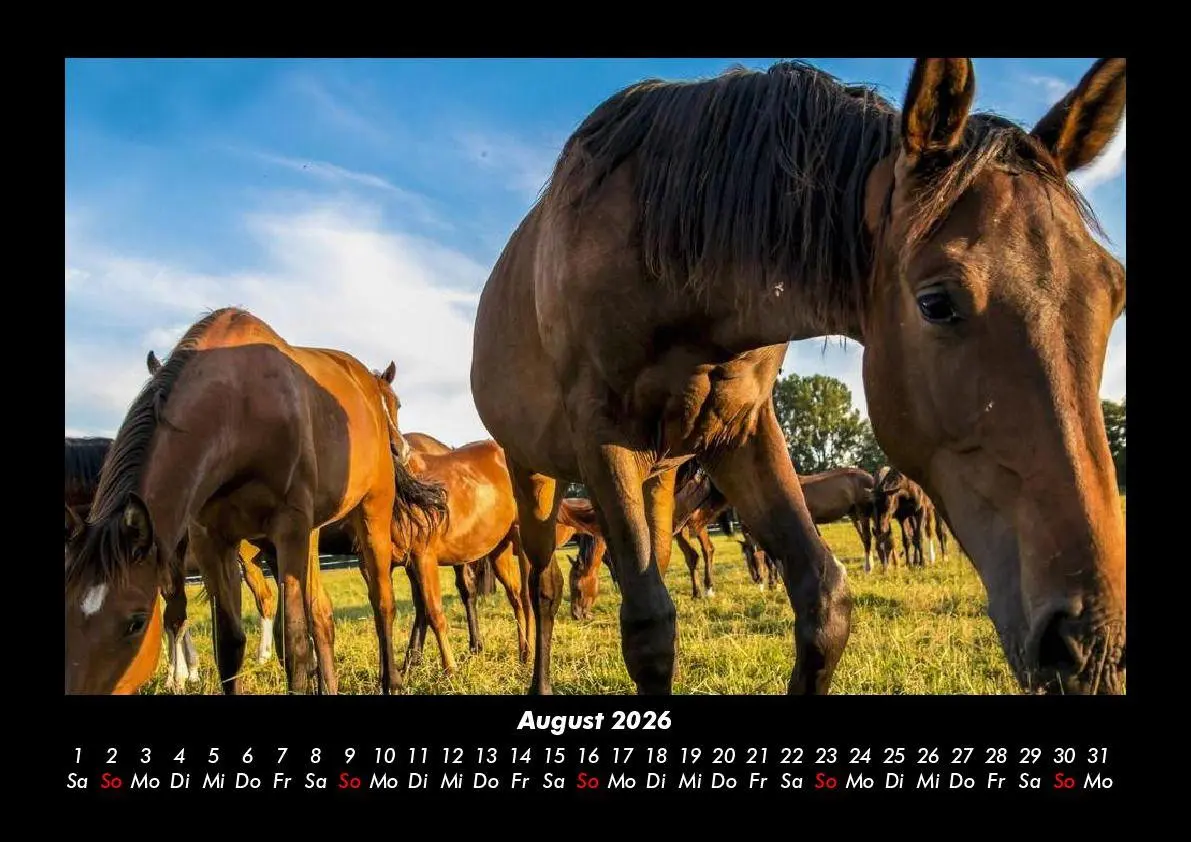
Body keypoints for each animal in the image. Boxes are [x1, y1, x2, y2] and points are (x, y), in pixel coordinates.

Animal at [65, 308, 448, 695]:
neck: (240, 409)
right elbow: (230, 644)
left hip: (371, 513)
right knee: (321, 613)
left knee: (381, 602)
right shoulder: (211, 541)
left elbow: (293, 642)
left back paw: (392, 680)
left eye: (137, 622)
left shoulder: (288, 529)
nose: (400, 449)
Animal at [470, 58, 1126, 696]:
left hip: (658, 476)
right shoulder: (603, 439)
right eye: (937, 303)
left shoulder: (741, 432)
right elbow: (649, 631)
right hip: (535, 473)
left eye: (1115, 293)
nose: (1090, 644)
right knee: (543, 584)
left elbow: (824, 601)